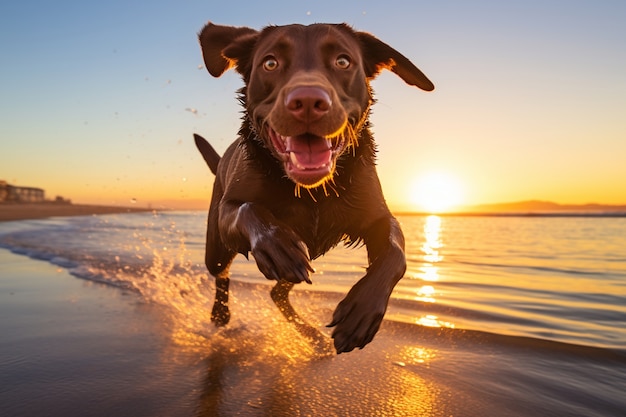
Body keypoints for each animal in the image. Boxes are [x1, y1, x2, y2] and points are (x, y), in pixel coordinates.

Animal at [193, 19, 432, 352]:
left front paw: (362, 312)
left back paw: (311, 336)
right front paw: (275, 242)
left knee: (277, 293)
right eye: (270, 63)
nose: (307, 101)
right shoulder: (230, 210)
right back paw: (220, 315)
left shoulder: (377, 217)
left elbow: (396, 251)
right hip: (218, 247)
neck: (311, 191)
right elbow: (247, 209)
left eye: (343, 61)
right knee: (222, 274)